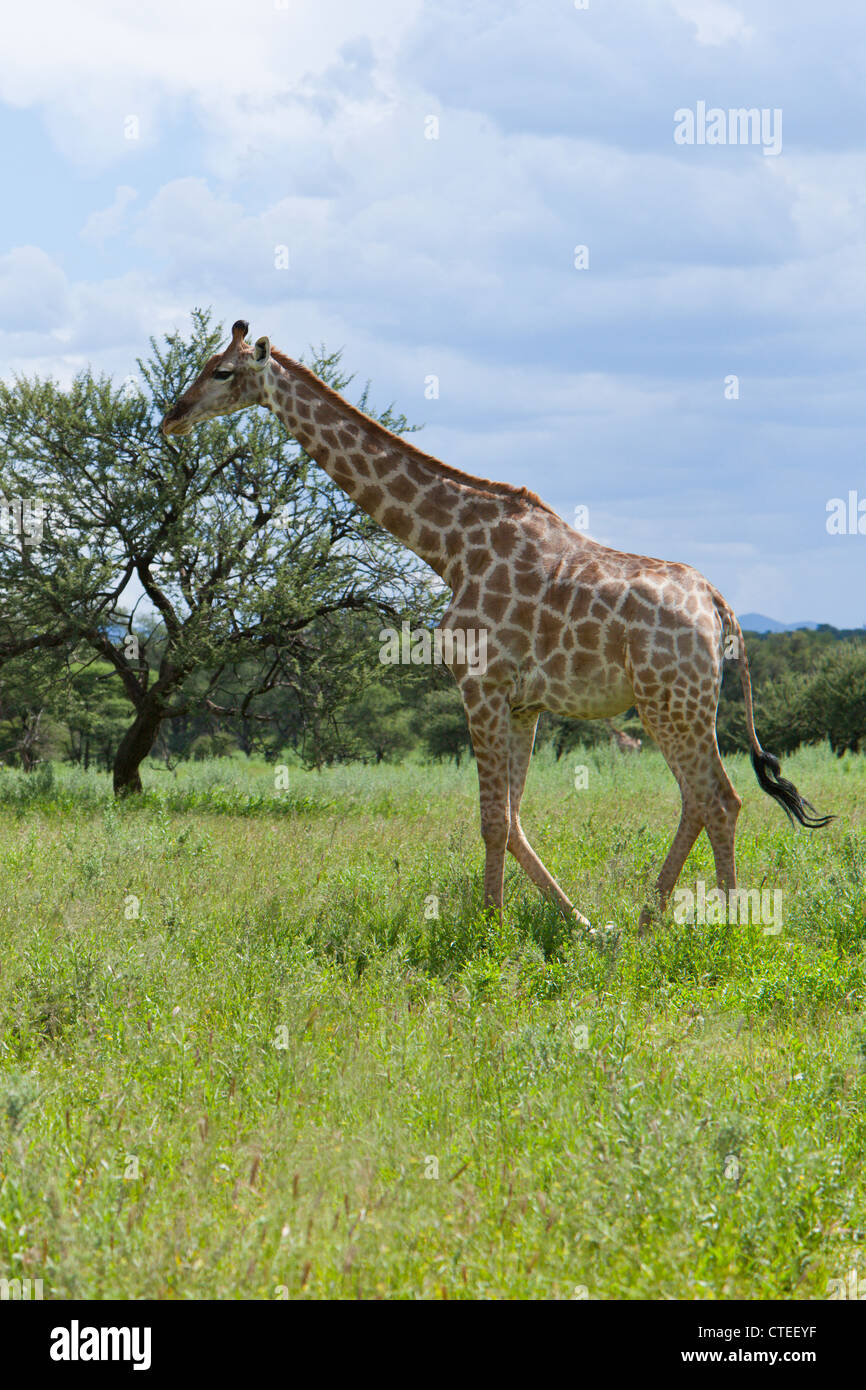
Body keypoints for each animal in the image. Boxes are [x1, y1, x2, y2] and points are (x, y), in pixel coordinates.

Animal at [161, 322, 834, 934]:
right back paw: (646, 922)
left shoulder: (478, 687)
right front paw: (577, 924)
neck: (450, 546)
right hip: (683, 703)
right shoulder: (522, 703)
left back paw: (724, 929)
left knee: (717, 799)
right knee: (704, 799)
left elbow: (491, 820)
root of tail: (717, 605)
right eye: (202, 364)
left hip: (670, 700)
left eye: (223, 372)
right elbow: (512, 821)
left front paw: (490, 932)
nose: (171, 417)